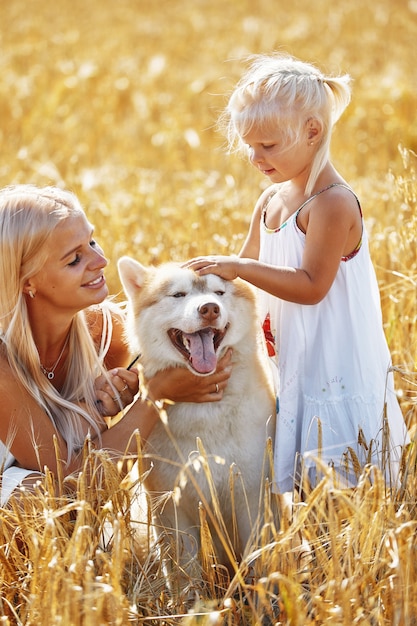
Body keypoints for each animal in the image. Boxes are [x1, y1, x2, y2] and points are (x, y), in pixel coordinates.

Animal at [117, 256, 274, 576]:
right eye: (178, 295)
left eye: (219, 293)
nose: (209, 309)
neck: (206, 412)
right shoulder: (170, 507)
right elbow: (185, 573)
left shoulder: (251, 496)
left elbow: (257, 563)